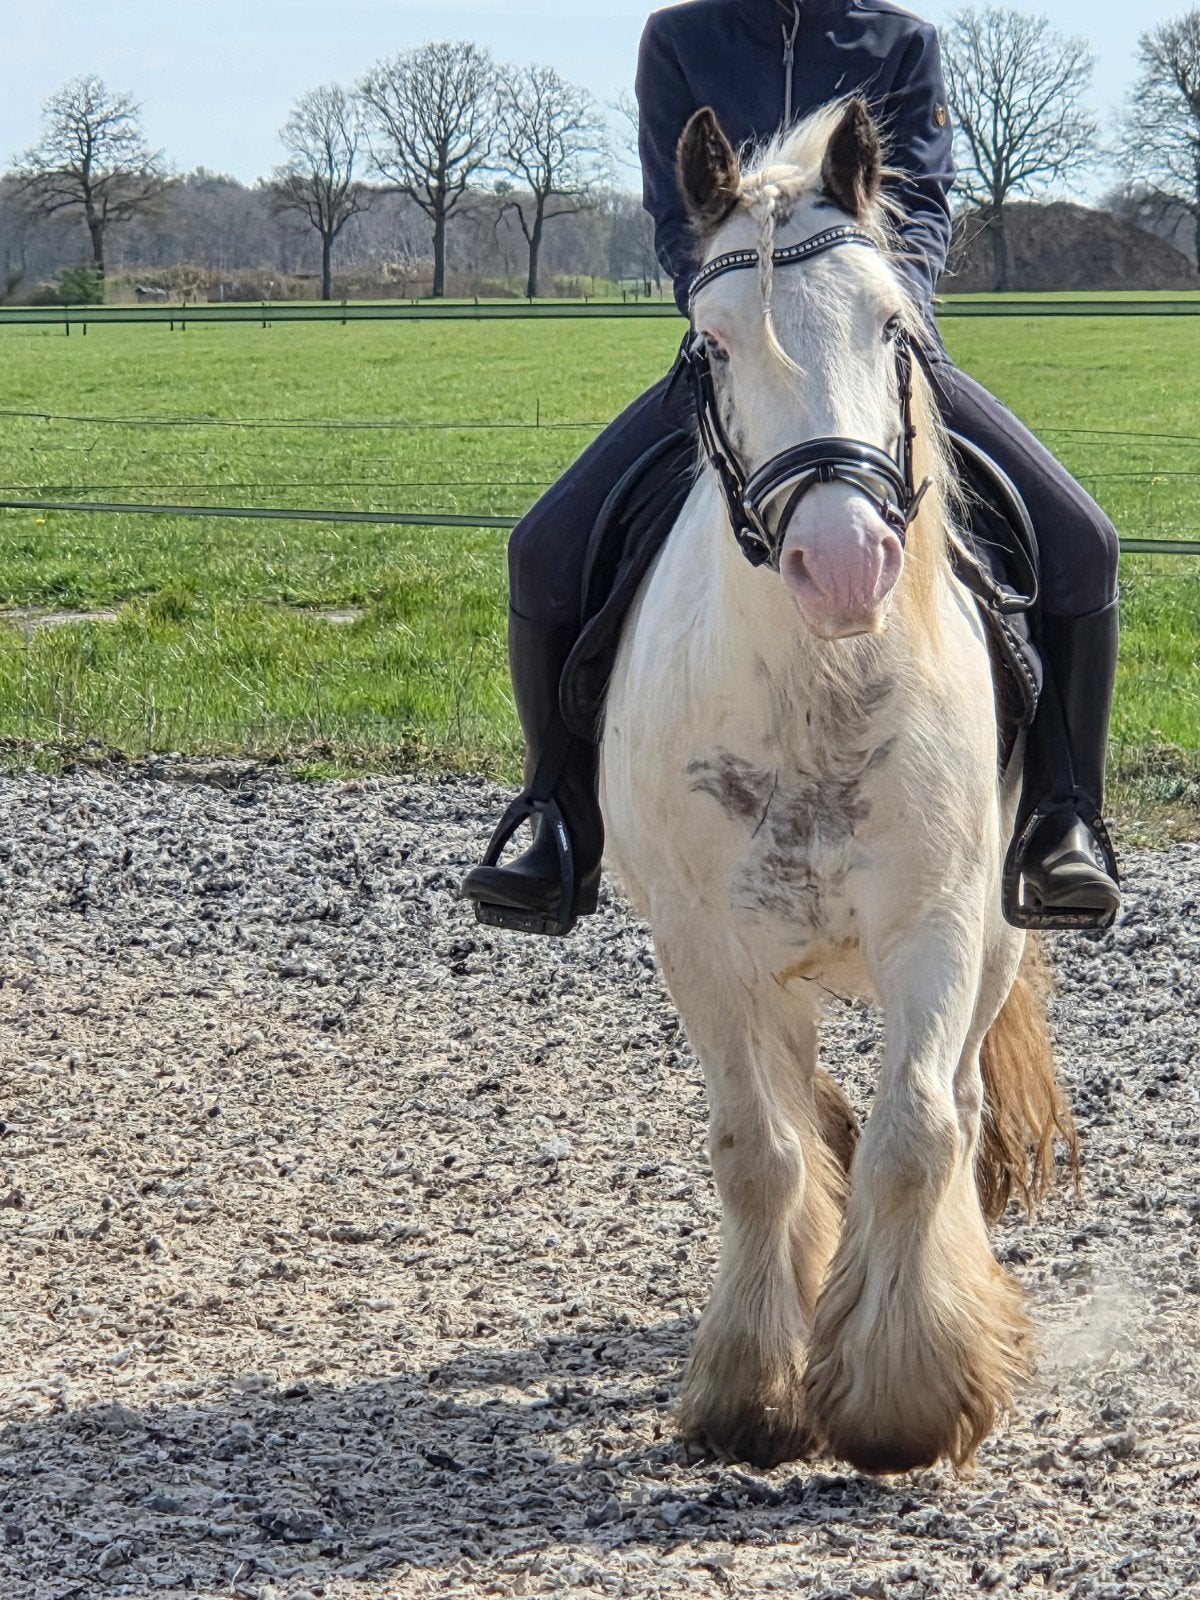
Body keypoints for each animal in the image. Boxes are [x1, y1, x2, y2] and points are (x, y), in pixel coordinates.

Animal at [599, 99, 1076, 1476]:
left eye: (889, 326)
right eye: (711, 344)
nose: (845, 560)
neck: (814, 684)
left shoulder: (939, 921)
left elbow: (917, 1136)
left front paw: (905, 1393)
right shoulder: (704, 946)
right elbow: (759, 1149)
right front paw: (753, 1389)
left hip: (994, 942)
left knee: (954, 1104)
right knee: (804, 1110)